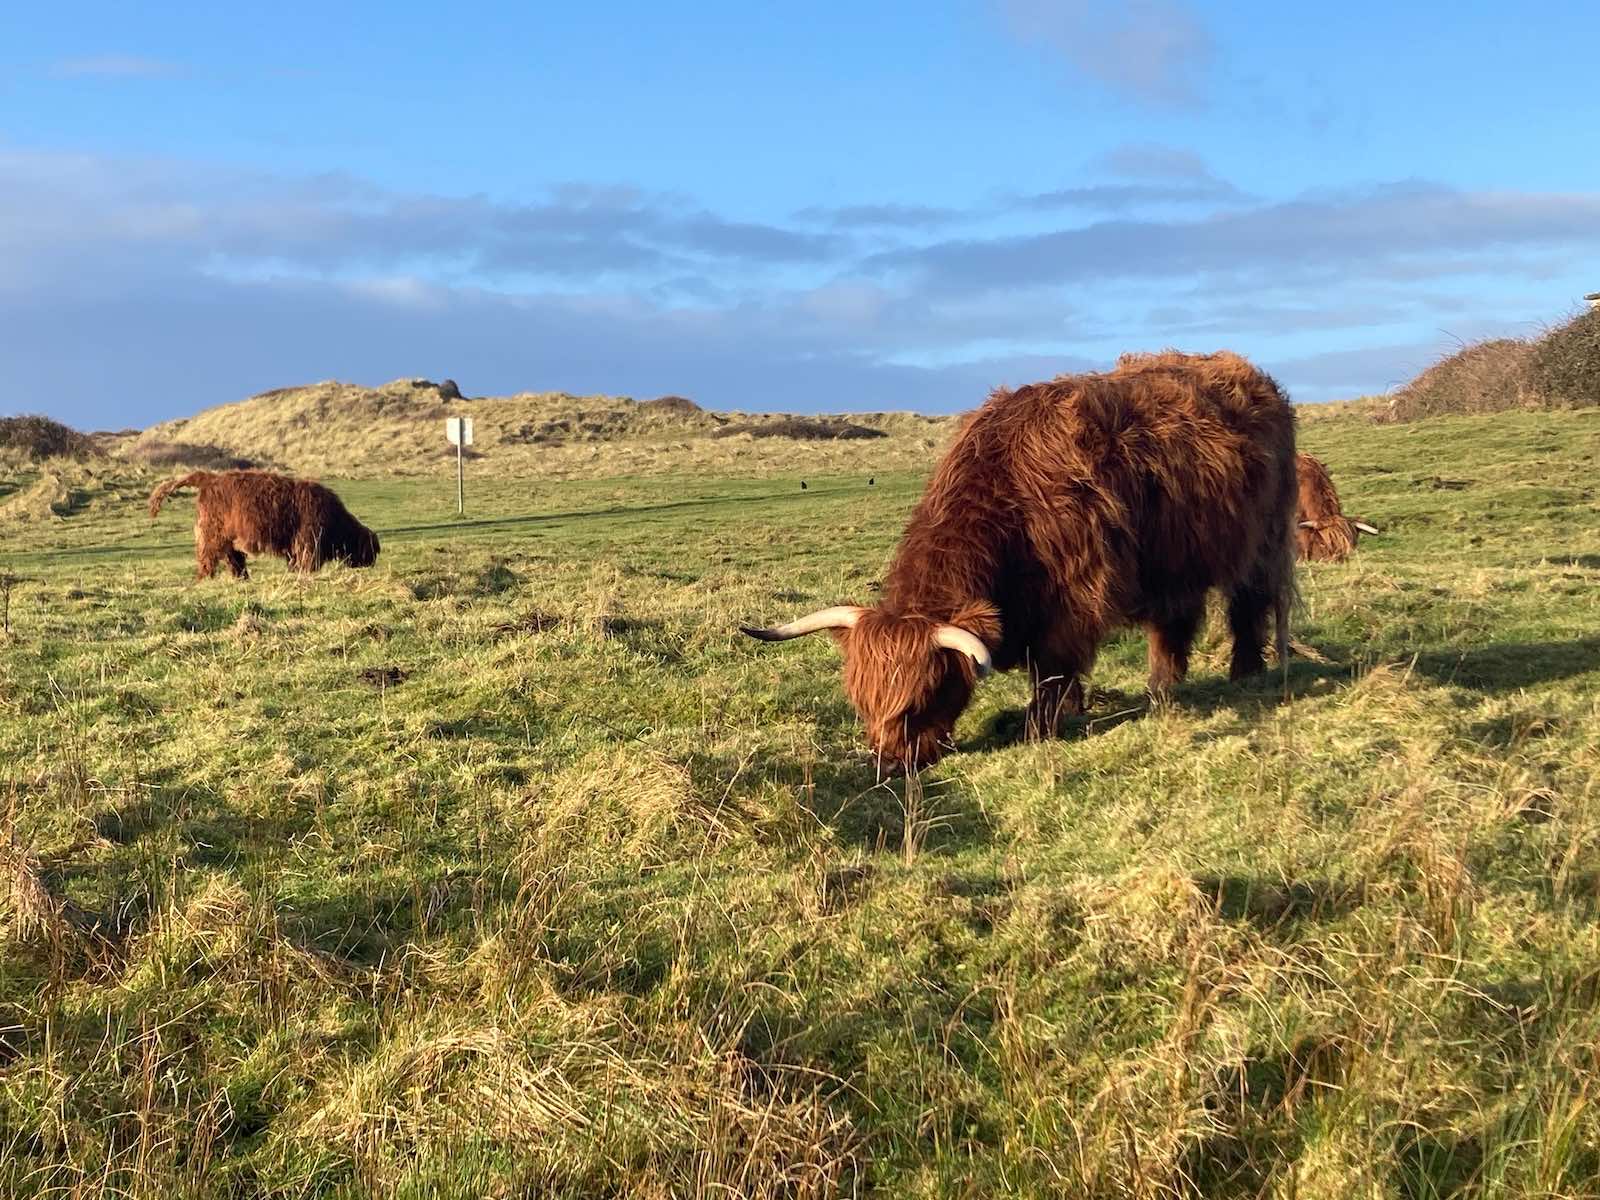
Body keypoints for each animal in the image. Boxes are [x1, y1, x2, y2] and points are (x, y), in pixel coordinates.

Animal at [148, 470, 380, 579]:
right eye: (372, 550)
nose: (371, 564)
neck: (337, 521)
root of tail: (209, 478)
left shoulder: (294, 546)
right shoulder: (309, 540)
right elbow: (308, 562)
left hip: (229, 537)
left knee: (234, 559)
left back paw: (242, 578)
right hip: (213, 532)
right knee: (208, 557)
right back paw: (206, 578)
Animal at [741, 350, 1298, 769]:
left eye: (922, 698)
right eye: (861, 702)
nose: (891, 764)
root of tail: (1254, 376)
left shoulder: (1077, 594)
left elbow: (1052, 665)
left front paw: (1041, 724)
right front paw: (1071, 709)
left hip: (1263, 541)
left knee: (1249, 605)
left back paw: (1244, 672)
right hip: (1173, 560)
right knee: (1174, 622)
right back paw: (1162, 689)